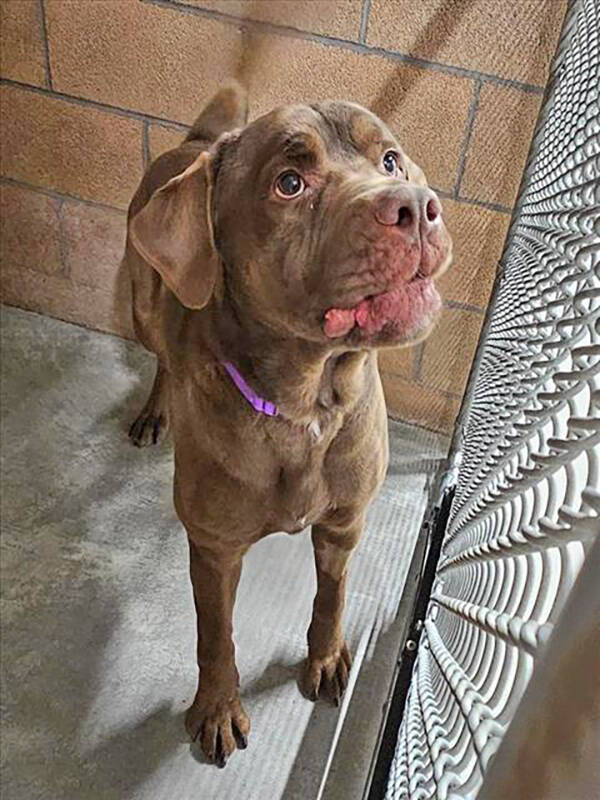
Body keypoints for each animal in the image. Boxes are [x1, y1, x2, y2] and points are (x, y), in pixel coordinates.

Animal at [123, 83, 450, 768]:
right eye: (290, 183)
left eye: (390, 160)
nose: (415, 207)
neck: (307, 407)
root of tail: (195, 144)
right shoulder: (215, 550)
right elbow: (215, 637)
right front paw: (217, 708)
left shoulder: (344, 523)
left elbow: (332, 597)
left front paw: (324, 657)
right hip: (143, 303)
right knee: (162, 350)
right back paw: (154, 411)